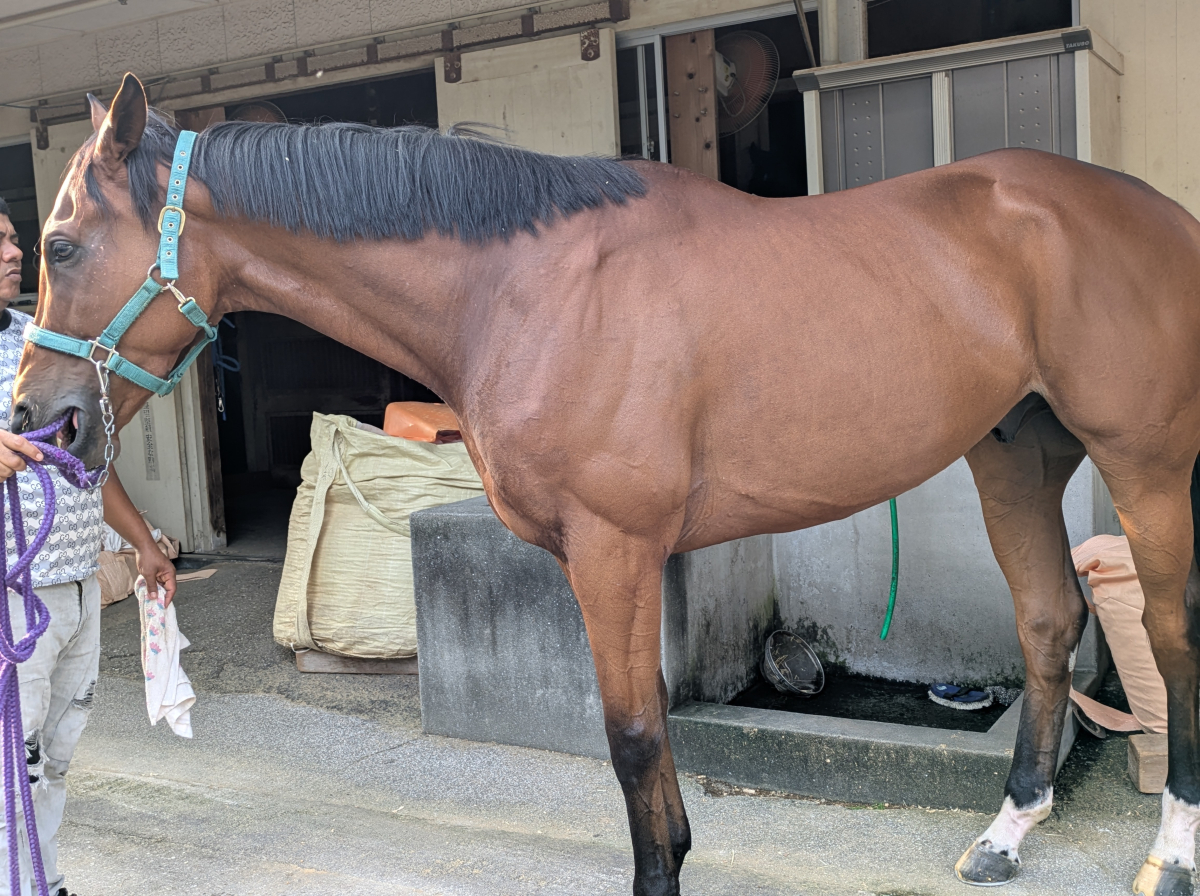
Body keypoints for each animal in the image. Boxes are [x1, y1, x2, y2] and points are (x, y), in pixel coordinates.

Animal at [12, 72, 1200, 896]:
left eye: (62, 245)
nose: (37, 421)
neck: (522, 286)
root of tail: (1156, 213)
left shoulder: (614, 549)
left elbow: (630, 737)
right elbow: (646, 738)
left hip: (1145, 462)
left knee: (1170, 635)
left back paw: (1172, 850)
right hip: (1016, 451)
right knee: (1048, 620)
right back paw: (1007, 831)